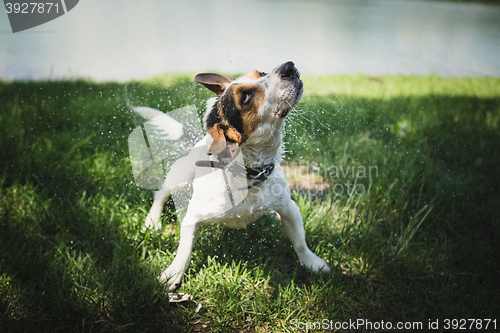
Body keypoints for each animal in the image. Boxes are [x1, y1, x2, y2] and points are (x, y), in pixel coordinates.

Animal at [139, 61, 330, 290]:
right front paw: (173, 273)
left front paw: (312, 263)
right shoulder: (192, 218)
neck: (248, 174)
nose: (289, 66)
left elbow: (300, 241)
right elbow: (184, 250)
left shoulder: (288, 207)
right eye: (246, 97)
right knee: (160, 195)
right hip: (179, 177)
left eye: (261, 73)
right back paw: (152, 221)